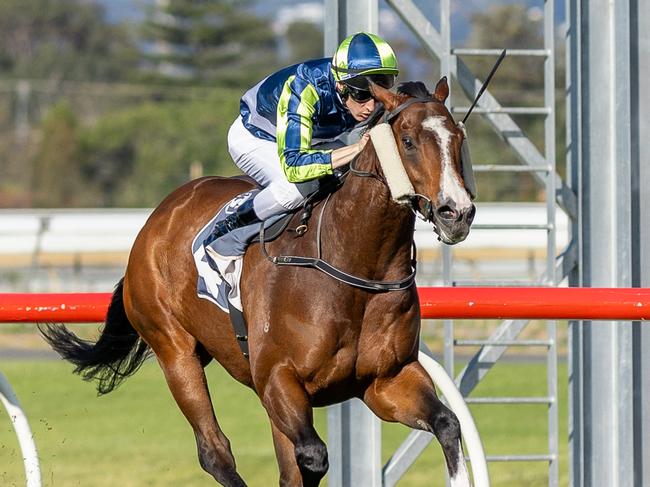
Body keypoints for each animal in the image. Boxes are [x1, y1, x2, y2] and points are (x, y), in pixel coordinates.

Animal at [41, 78, 476, 486]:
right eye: (408, 141)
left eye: (457, 138)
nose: (457, 212)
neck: (356, 264)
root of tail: (157, 217)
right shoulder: (280, 378)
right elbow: (313, 458)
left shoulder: (385, 380)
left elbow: (447, 424)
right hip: (175, 350)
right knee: (215, 452)